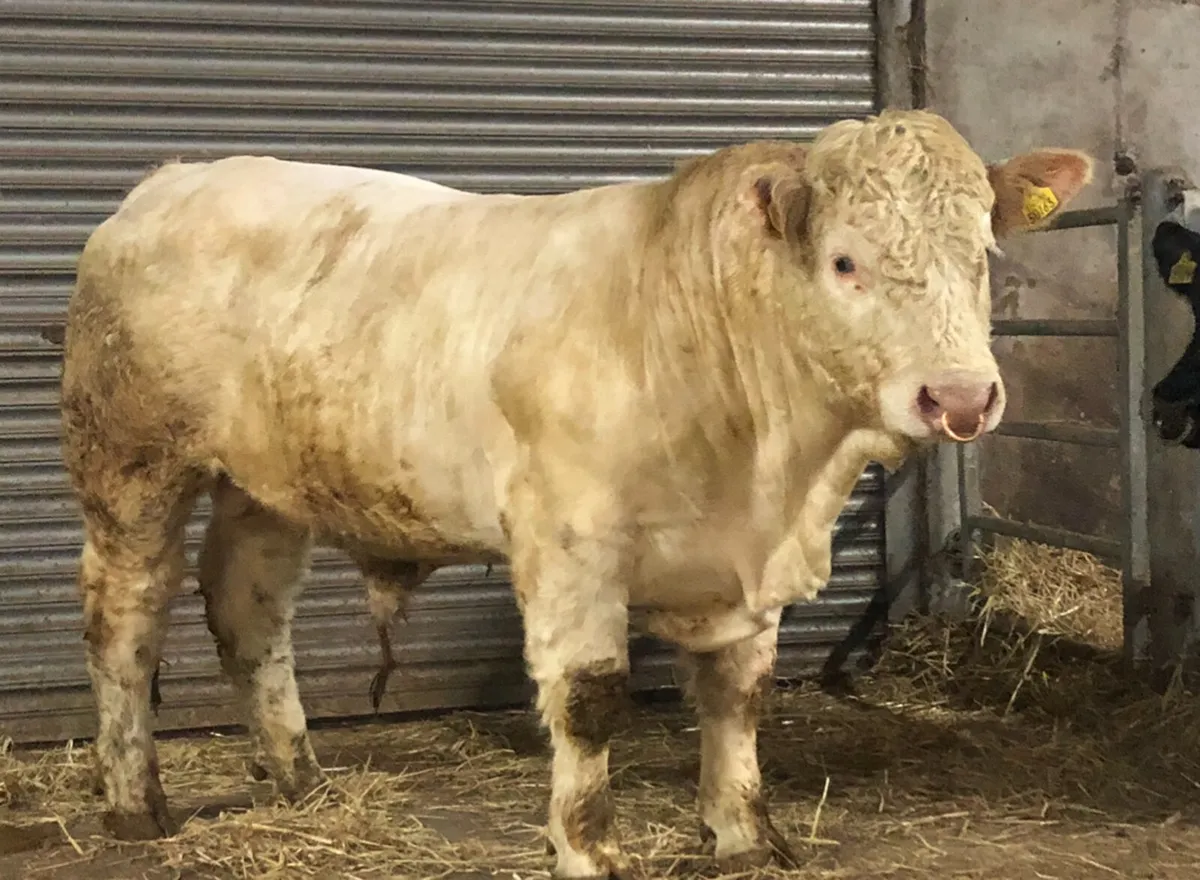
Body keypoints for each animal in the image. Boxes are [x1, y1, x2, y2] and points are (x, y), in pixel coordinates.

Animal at [60, 109, 1092, 877]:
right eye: (845, 261)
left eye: (985, 254)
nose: (961, 398)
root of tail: (170, 181)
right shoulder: (570, 544)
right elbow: (590, 702)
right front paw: (588, 849)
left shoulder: (745, 567)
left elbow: (737, 694)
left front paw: (743, 835)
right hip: (130, 462)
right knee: (125, 618)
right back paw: (134, 802)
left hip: (267, 485)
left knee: (248, 608)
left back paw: (298, 777)